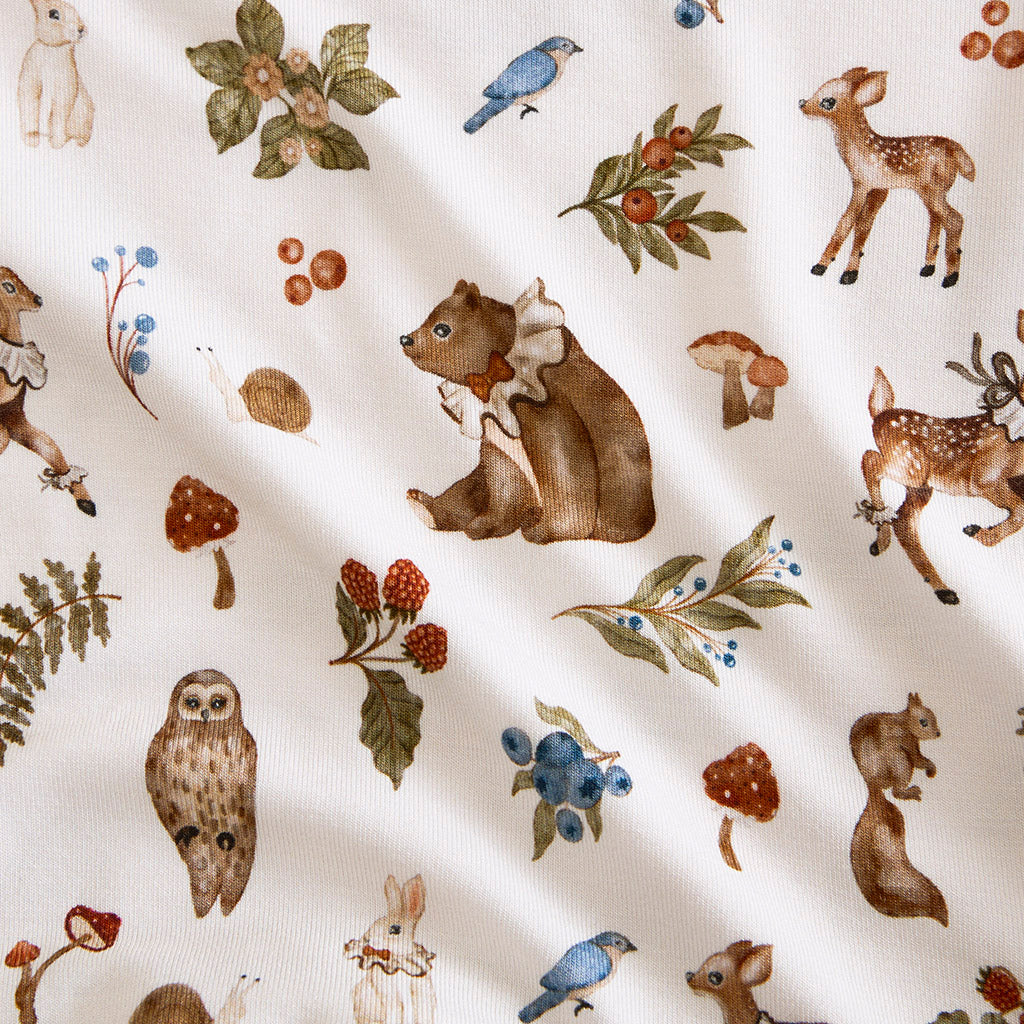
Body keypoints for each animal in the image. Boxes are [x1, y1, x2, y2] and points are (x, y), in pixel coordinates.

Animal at [18, 0, 94, 148]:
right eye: (53, 14)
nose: (81, 29)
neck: (53, 48)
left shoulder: (65, 90)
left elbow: (58, 116)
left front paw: (56, 143)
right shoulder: (30, 81)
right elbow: (30, 108)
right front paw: (31, 139)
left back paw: (77, 143)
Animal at [799, 68, 975, 288]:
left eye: (828, 101)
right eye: (818, 89)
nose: (802, 103)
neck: (862, 154)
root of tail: (957, 151)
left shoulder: (862, 184)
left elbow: (846, 222)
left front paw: (822, 267)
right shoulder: (880, 188)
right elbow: (864, 226)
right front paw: (851, 272)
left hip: (933, 189)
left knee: (954, 219)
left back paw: (950, 277)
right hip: (931, 190)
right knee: (936, 218)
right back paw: (928, 268)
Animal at [858, 311, 1024, 606]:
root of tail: (880, 414)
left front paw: (979, 532)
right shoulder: (984, 479)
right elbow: (1019, 511)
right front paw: (981, 535)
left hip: (920, 486)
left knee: (905, 522)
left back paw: (942, 589)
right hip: (910, 466)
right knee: (869, 460)